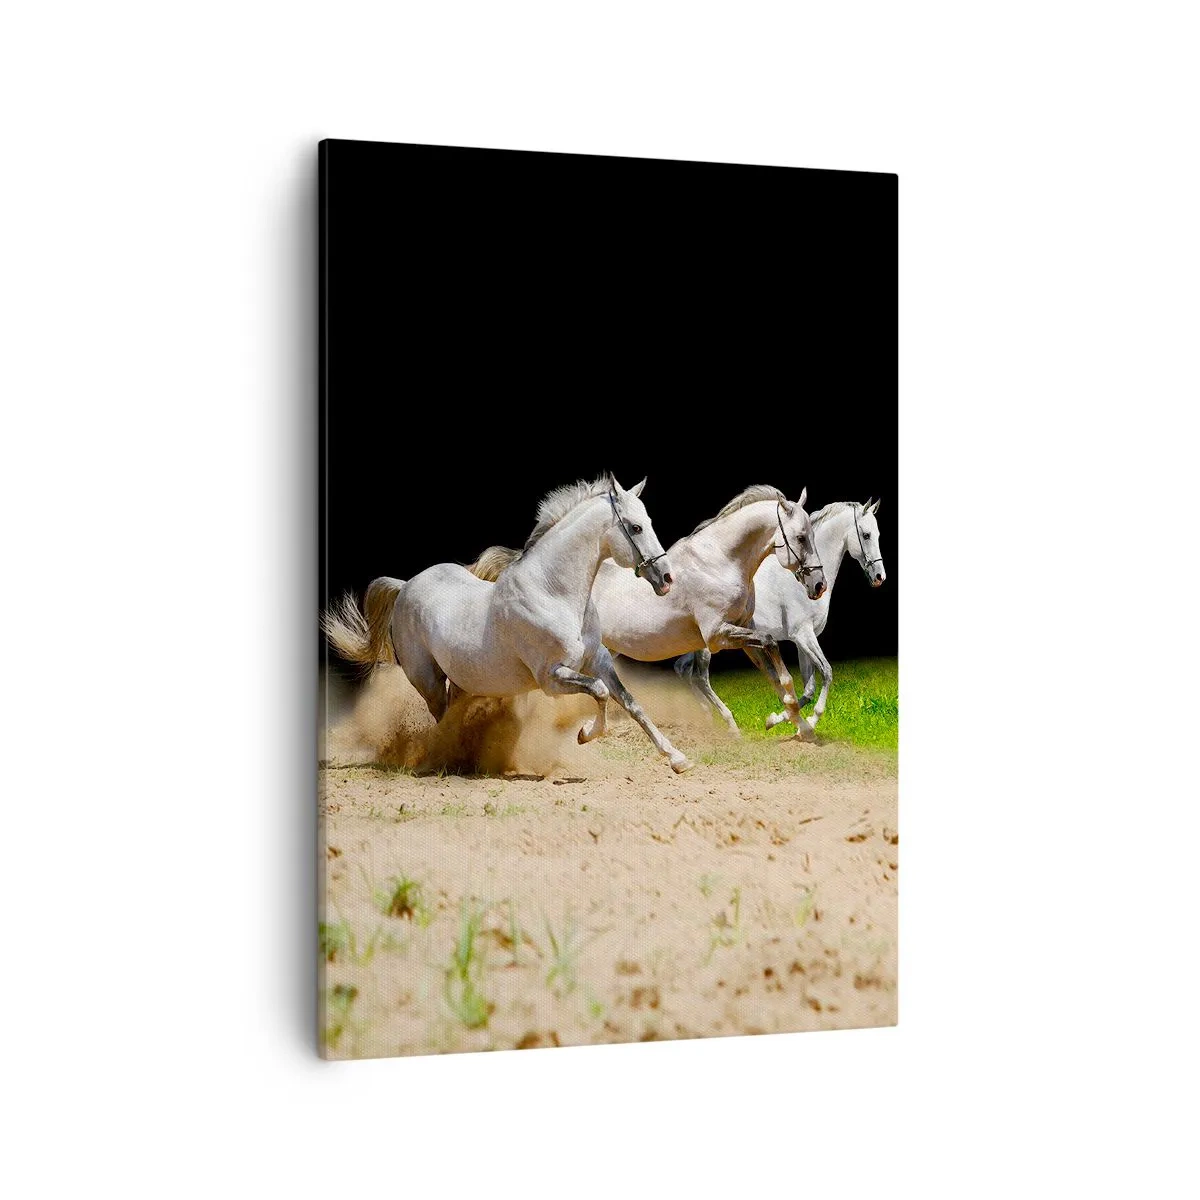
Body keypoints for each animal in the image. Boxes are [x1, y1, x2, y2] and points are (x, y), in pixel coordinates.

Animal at [322, 475, 696, 773]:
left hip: (463, 679)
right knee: (441, 719)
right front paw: (584, 734)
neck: (553, 592)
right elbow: (601, 693)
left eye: (648, 521)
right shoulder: (552, 678)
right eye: (635, 527)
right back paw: (445, 760)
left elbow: (631, 703)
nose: (666, 579)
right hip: (427, 679)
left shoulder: (598, 660)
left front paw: (678, 759)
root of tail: (405, 586)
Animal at [675, 498, 886, 734]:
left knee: (683, 670)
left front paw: (782, 720)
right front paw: (809, 720)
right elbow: (826, 672)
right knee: (700, 677)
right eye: (866, 535)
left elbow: (809, 688)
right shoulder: (804, 635)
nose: (880, 577)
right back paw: (729, 723)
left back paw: (706, 717)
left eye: (877, 534)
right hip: (709, 644)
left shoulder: (803, 641)